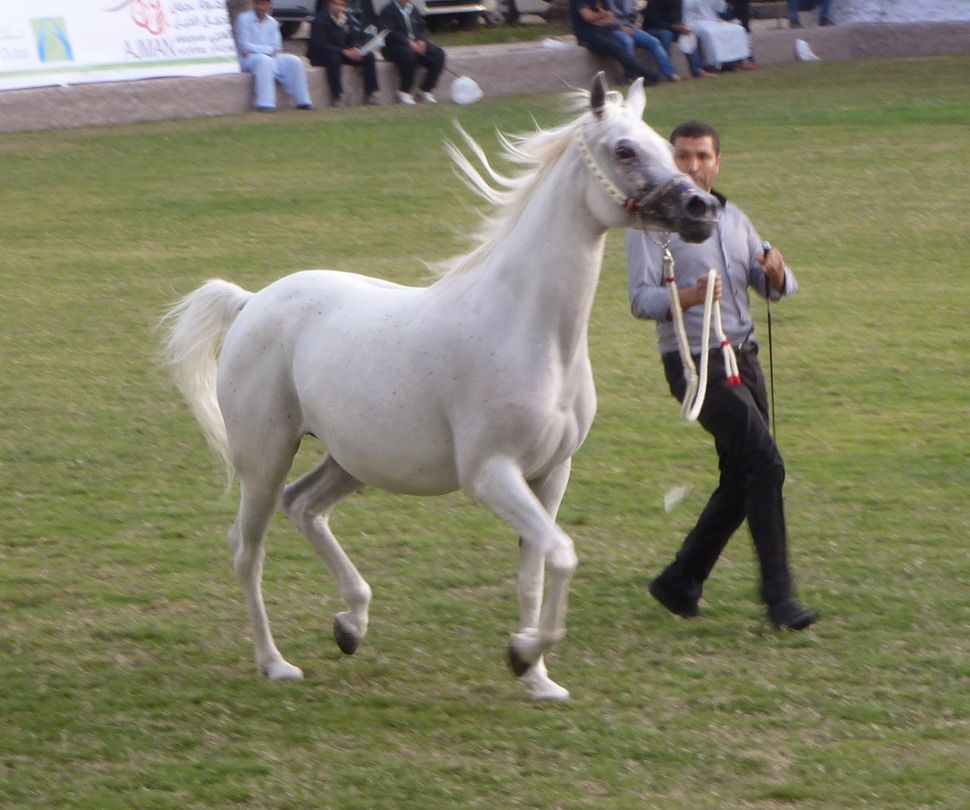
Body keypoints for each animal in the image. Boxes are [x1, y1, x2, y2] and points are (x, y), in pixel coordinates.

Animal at [162, 73, 717, 701]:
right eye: (624, 150)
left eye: (665, 145)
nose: (702, 209)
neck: (531, 331)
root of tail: (252, 302)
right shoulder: (491, 474)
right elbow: (563, 555)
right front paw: (523, 654)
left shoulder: (551, 475)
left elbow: (535, 572)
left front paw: (537, 677)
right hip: (264, 459)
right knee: (247, 549)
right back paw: (275, 662)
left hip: (350, 460)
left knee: (303, 506)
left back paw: (350, 625)